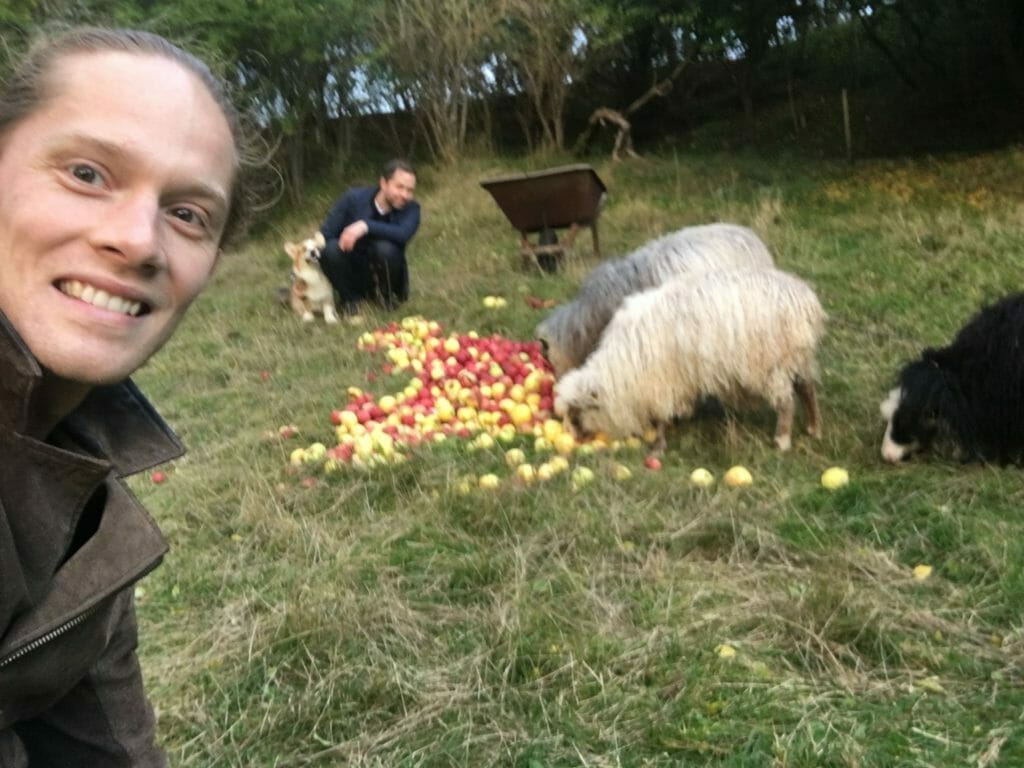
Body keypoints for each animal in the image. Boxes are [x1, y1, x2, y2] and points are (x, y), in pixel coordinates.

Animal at [552, 268, 823, 450]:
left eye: (577, 412)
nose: (575, 438)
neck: (619, 370)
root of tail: (804, 298)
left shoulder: (661, 380)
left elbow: (662, 413)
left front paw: (660, 441)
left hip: (771, 363)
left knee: (787, 401)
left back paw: (782, 439)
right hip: (797, 358)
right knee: (807, 389)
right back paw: (814, 428)